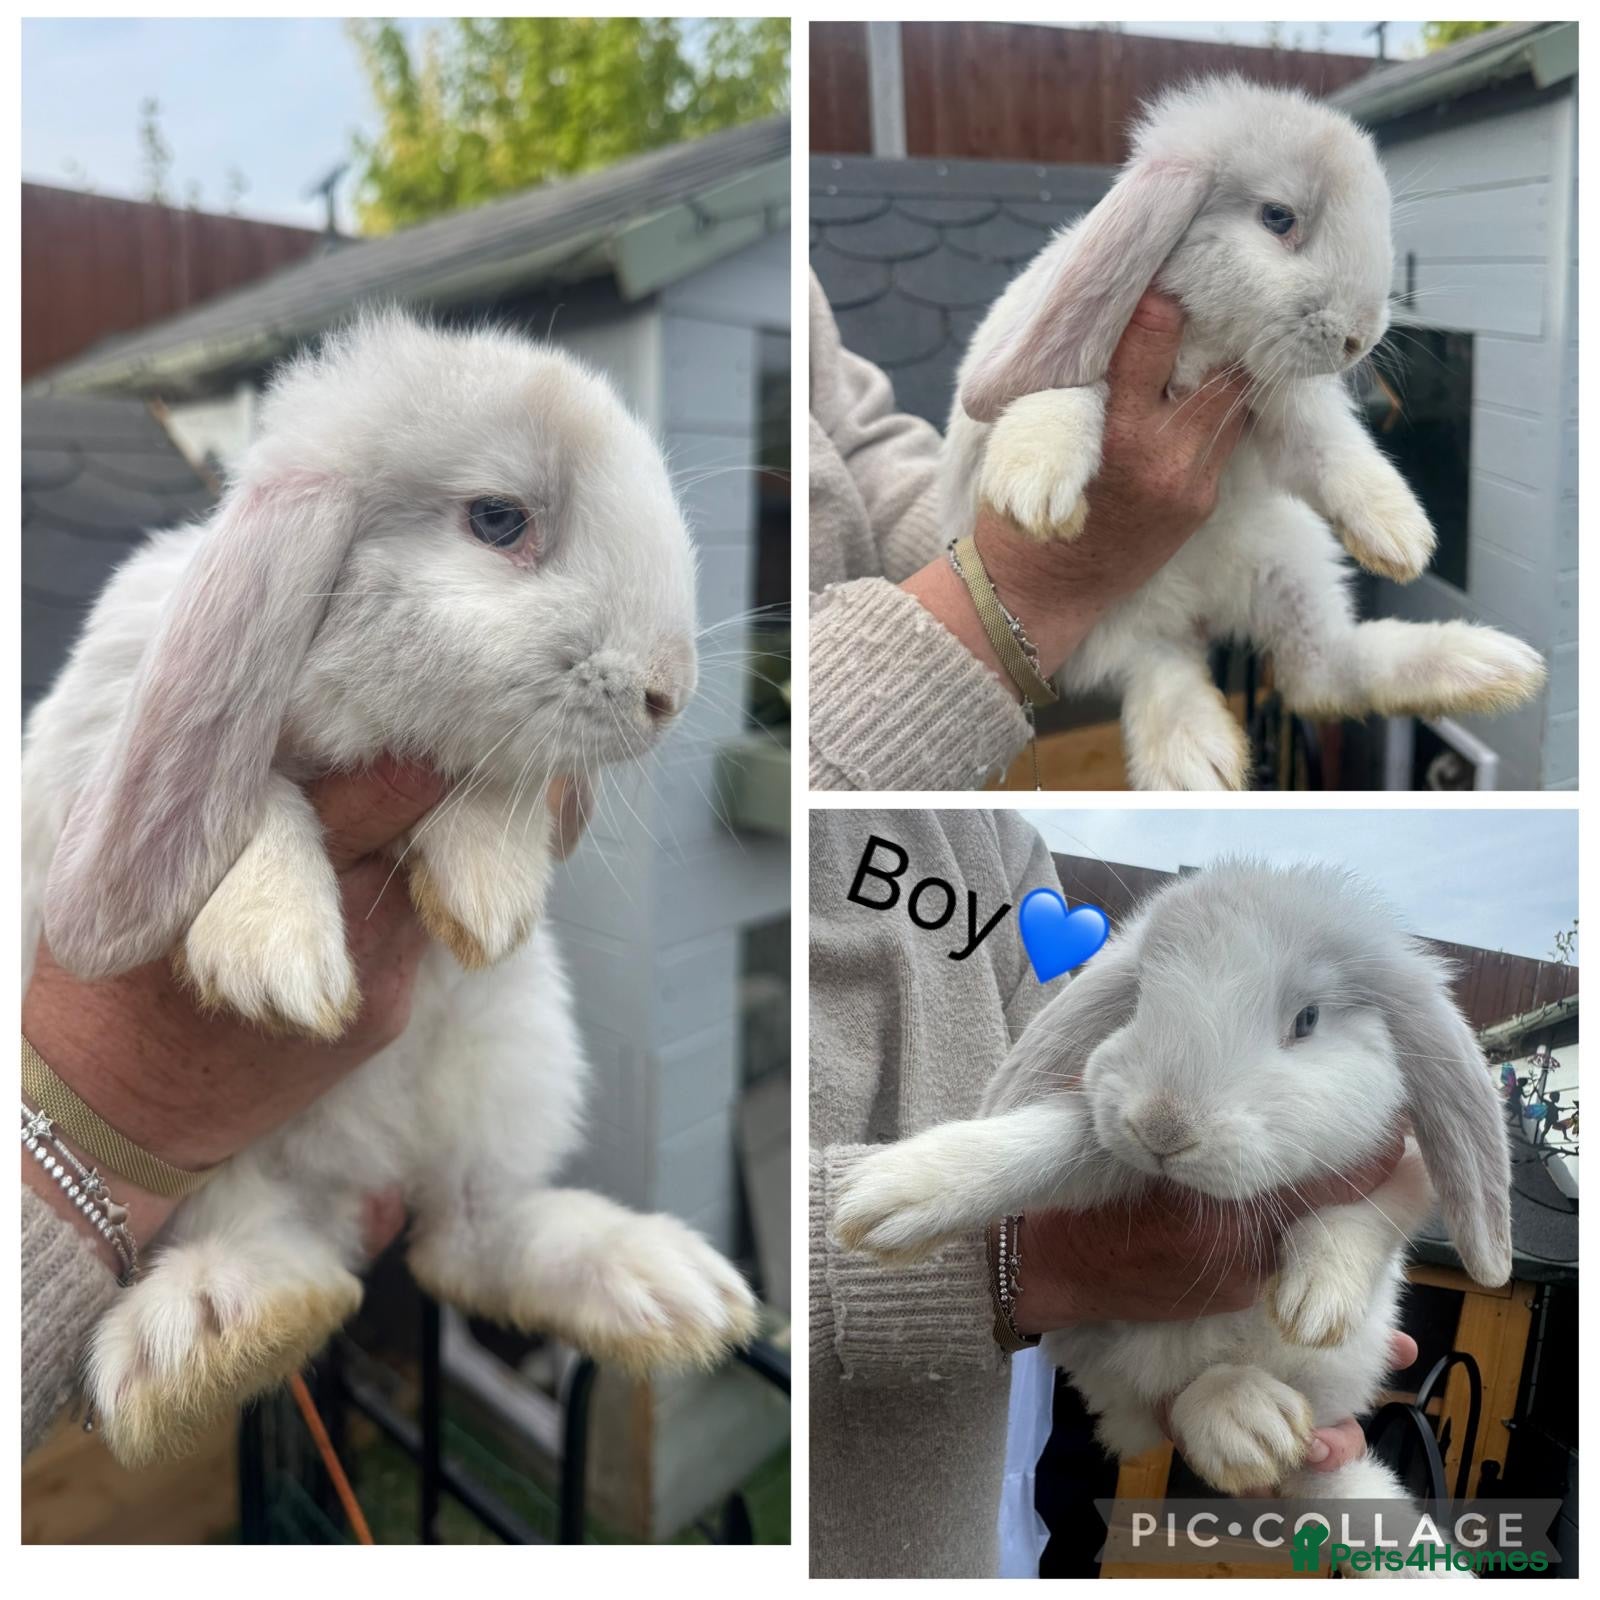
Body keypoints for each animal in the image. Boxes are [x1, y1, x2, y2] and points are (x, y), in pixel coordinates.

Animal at [21, 308, 758, 1465]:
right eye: (498, 519)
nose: (666, 692)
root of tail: (363, 1172)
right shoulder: (91, 749)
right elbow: (260, 795)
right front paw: (279, 961)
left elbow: (488, 780)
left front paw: (485, 893)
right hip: (228, 1175)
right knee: (290, 1253)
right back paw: (211, 1336)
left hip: (513, 1069)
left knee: (465, 1241)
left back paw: (664, 1285)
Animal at [830, 861, 1510, 1573]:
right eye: (1142, 1001)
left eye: (1307, 1019)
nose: (1163, 1125)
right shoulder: (1101, 1131)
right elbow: (1054, 1137)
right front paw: (887, 1196)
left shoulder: (1403, 1168)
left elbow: (1363, 1214)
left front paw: (1318, 1303)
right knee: (1157, 1400)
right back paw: (1247, 1424)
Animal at [942, 76, 1545, 790]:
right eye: (1278, 218)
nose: (1359, 338)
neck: (1204, 339)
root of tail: (1204, 607)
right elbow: (1065, 384)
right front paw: (1033, 487)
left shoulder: (1275, 404)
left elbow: (1331, 446)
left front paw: (1401, 534)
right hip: (1108, 622)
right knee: (1158, 666)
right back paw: (1192, 759)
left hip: (1293, 560)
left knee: (1322, 674)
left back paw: (1487, 665)